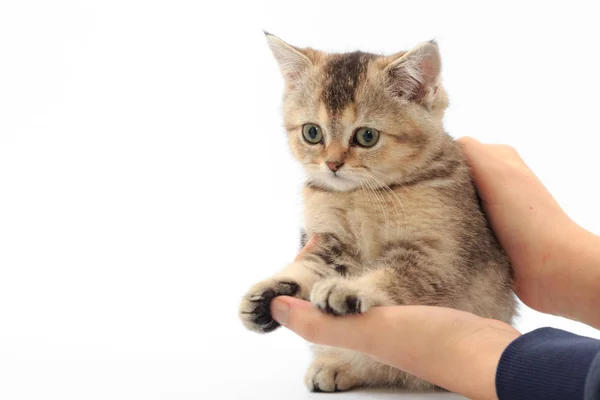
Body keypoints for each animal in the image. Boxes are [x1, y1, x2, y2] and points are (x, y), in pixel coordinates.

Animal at [239, 32, 516, 392]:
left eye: (367, 136)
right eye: (312, 132)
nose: (332, 164)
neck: (362, 196)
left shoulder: (439, 254)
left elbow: (392, 274)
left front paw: (350, 289)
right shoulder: (327, 240)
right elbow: (310, 266)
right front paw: (267, 292)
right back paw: (335, 366)